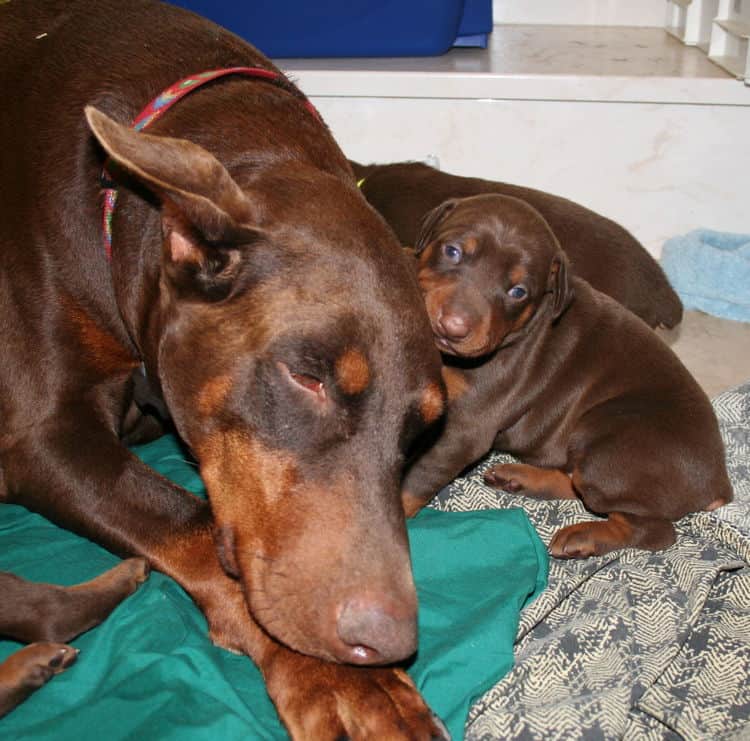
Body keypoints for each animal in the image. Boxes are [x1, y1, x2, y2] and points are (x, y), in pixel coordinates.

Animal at [402, 194, 732, 556]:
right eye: (453, 251)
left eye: (518, 291)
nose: (454, 327)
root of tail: (719, 483)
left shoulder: (466, 427)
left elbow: (419, 476)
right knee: (575, 480)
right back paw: (521, 478)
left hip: (605, 443)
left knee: (652, 529)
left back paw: (583, 537)